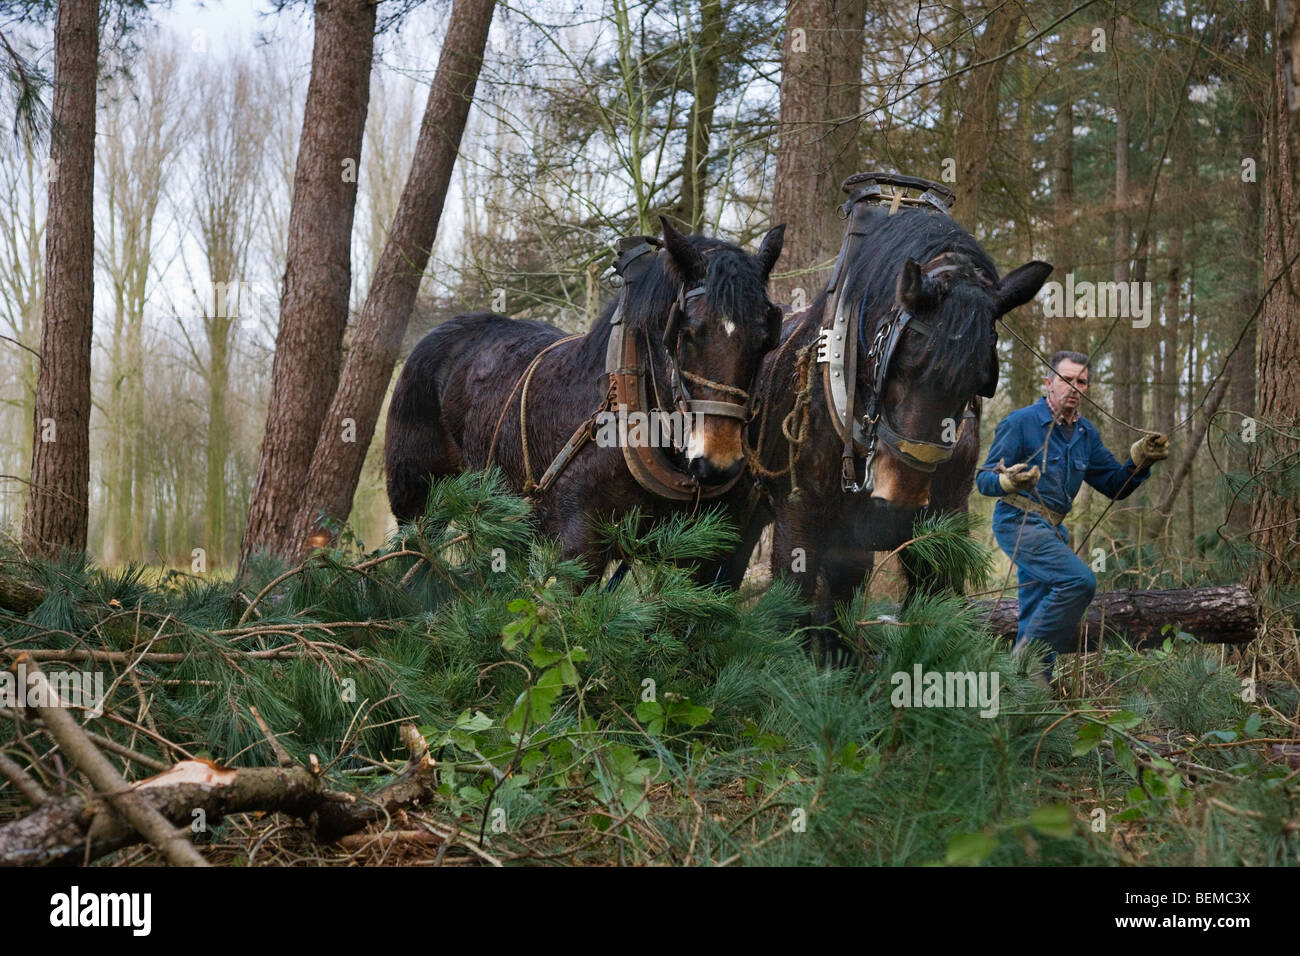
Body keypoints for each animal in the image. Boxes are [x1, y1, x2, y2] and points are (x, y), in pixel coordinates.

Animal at [385, 218, 785, 580]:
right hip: (416, 504)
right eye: (687, 332)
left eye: (765, 339)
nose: (719, 462)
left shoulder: (708, 560)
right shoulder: (580, 549)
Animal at [715, 177, 1050, 646]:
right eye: (902, 360)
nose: (902, 494)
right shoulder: (798, 518)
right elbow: (792, 609)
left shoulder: (942, 524)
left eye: (980, 379)